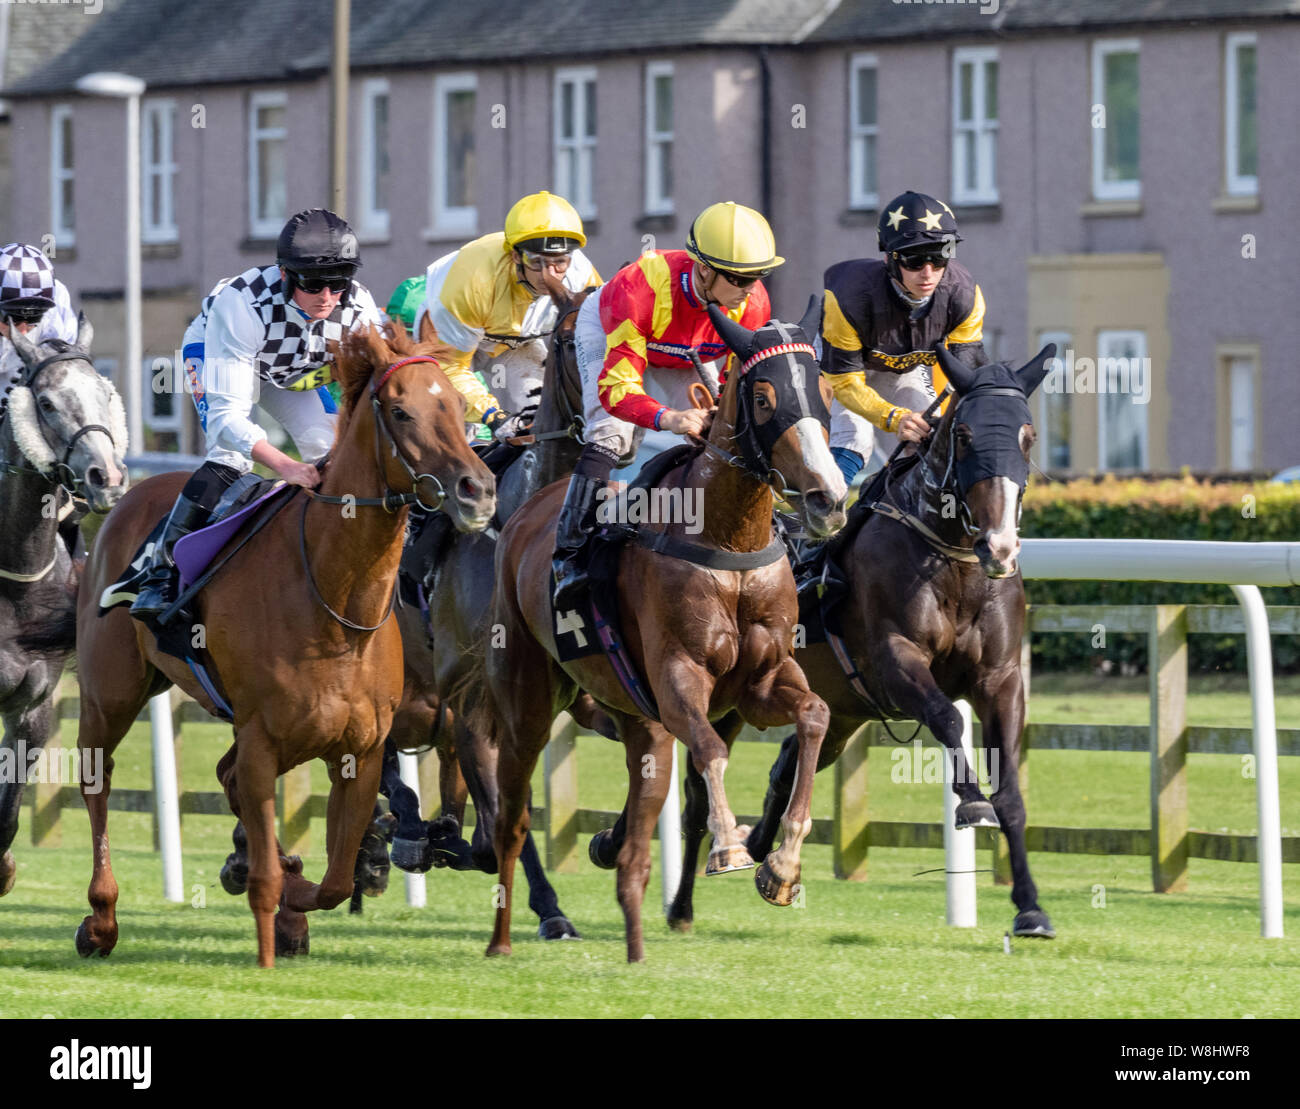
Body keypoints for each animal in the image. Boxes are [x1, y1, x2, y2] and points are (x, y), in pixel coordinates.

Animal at [36, 325, 491, 967]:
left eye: (454, 403)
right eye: (402, 412)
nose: (477, 490)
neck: (335, 600)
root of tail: (128, 497)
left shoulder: (358, 750)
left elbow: (336, 879)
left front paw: (293, 897)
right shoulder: (262, 740)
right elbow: (278, 873)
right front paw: (270, 928)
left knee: (225, 779)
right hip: (110, 694)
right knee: (97, 782)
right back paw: (101, 919)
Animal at [478, 299, 852, 956]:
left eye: (825, 392)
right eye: (762, 397)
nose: (828, 500)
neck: (728, 540)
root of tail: (530, 507)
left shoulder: (759, 682)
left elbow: (813, 716)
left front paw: (782, 867)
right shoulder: (679, 677)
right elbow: (707, 750)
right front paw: (731, 848)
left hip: (624, 702)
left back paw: (611, 847)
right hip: (526, 699)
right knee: (512, 813)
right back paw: (507, 936)